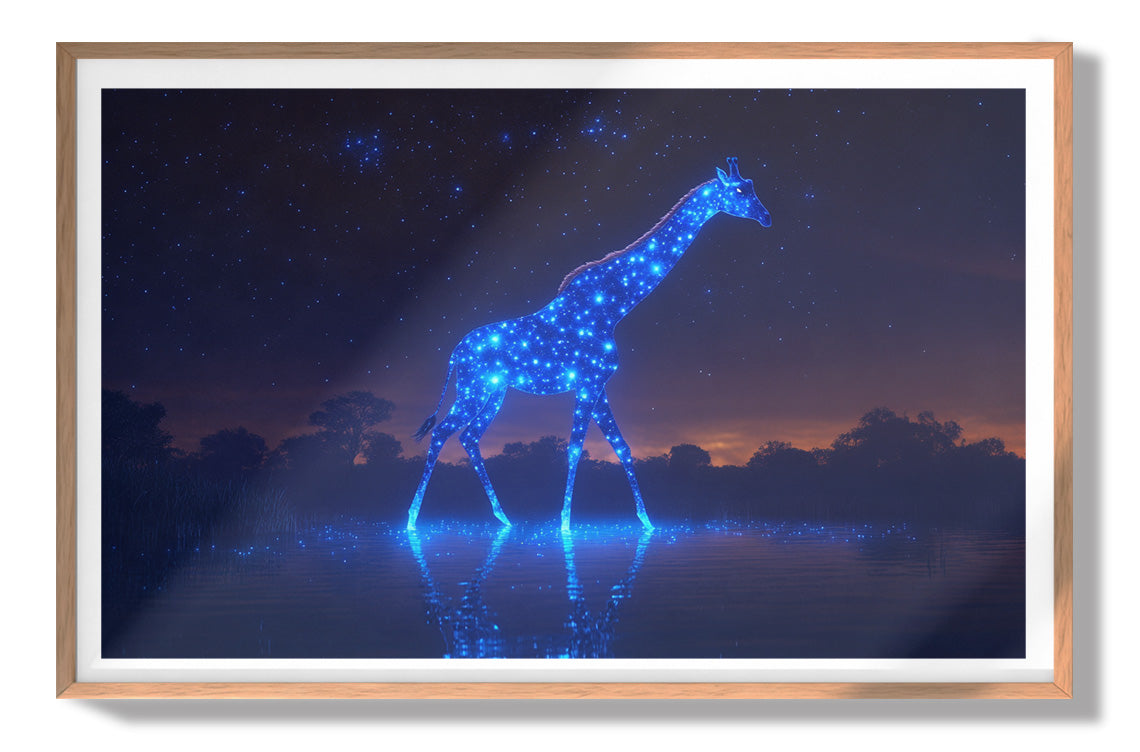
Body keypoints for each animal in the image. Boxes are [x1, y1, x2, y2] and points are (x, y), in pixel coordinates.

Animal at [406, 157, 772, 531]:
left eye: (752, 186)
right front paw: (565, 524)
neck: (612, 307)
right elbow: (575, 448)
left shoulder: (598, 383)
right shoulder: (587, 381)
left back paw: (504, 517)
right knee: (442, 433)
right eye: (740, 190)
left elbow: (622, 446)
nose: (767, 217)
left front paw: (646, 521)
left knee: (469, 436)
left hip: (495, 390)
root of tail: (454, 354)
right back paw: (411, 520)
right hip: (474, 388)